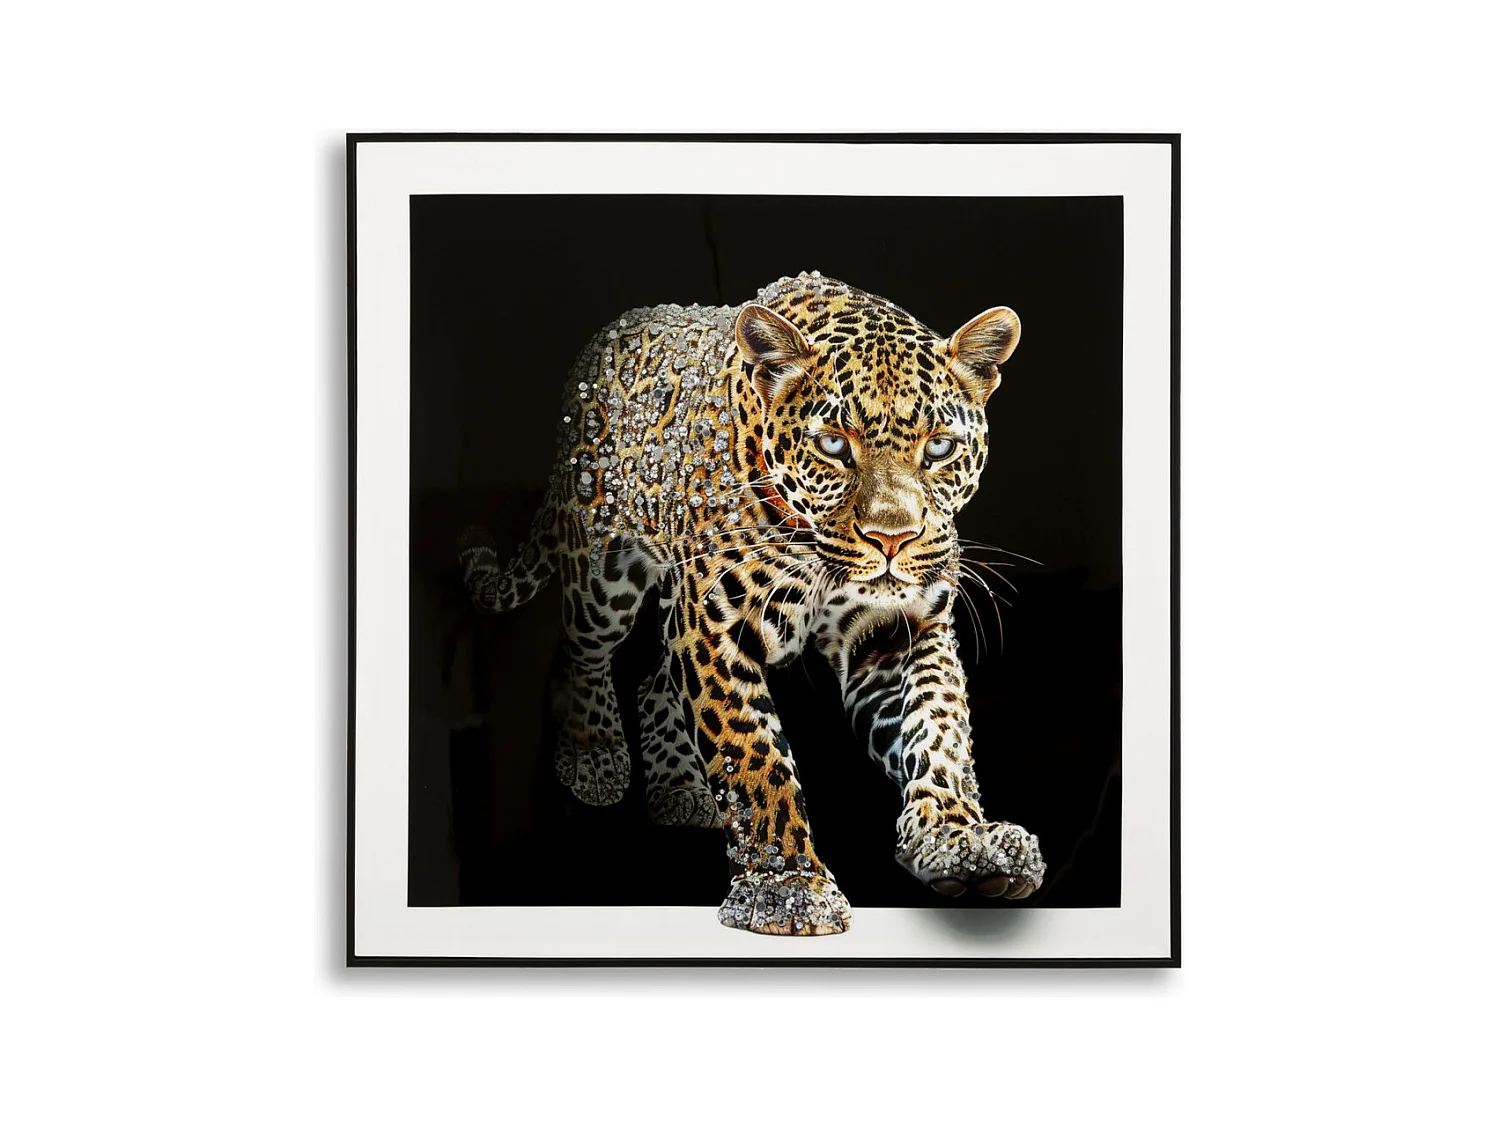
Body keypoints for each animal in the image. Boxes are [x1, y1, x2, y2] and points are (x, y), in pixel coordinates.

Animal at [458, 271, 1045, 936]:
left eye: (941, 448)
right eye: (833, 444)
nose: (892, 539)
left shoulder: (898, 629)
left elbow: (937, 728)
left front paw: (960, 842)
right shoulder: (715, 627)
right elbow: (754, 755)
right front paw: (786, 887)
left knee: (654, 679)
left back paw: (681, 789)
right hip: (601, 571)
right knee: (580, 652)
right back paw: (595, 755)